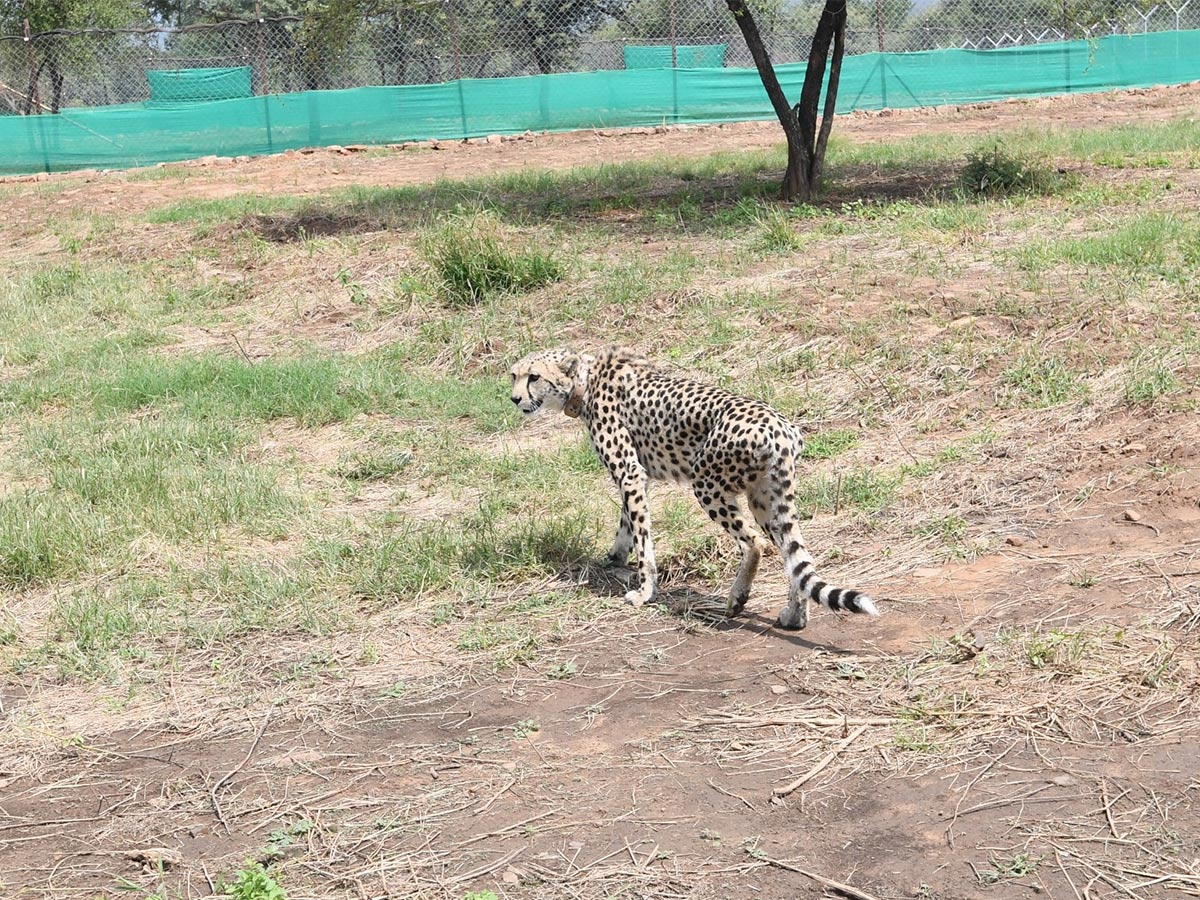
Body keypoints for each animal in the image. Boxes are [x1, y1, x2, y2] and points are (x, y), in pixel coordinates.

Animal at [504, 348, 873, 633]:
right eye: (513, 376)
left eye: (533, 376)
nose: (515, 398)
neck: (584, 380)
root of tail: (781, 427)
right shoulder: (638, 477)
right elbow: (627, 523)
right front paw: (614, 557)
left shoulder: (630, 472)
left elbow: (642, 539)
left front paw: (644, 591)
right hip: (765, 497)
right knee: (793, 554)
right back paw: (795, 616)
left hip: (706, 482)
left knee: (754, 543)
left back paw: (737, 599)